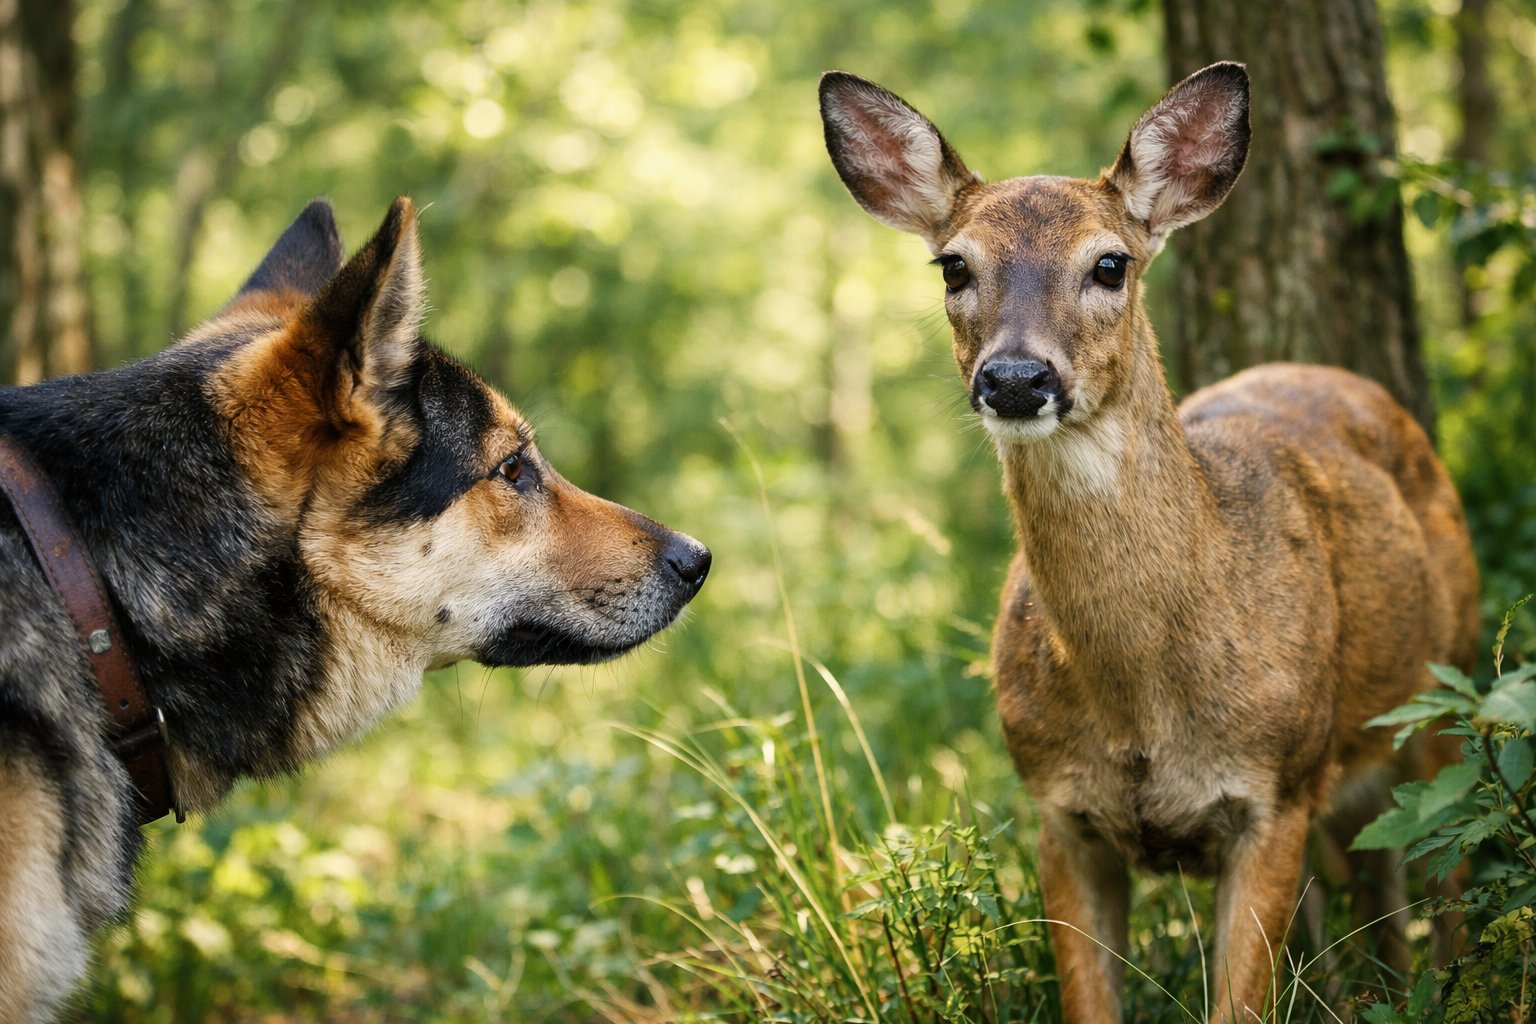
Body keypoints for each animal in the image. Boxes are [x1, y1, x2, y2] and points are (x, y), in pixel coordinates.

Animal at [818, 62, 1479, 1021]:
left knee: (1446, 884)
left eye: (1109, 263)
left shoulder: (1274, 791)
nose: (1015, 377)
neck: (1142, 704)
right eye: (953, 265)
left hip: (1446, 694)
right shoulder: (1059, 811)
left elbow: (1239, 1003)